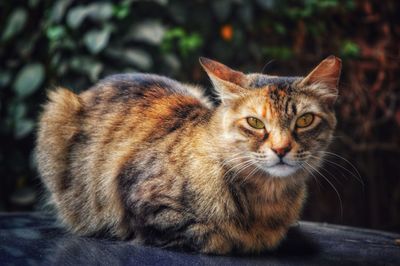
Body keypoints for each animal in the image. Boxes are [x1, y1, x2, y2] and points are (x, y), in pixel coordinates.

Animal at [36, 55, 340, 255]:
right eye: (255, 122)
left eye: (305, 120)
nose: (281, 149)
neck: (267, 198)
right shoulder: (141, 200)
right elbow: (213, 236)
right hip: (57, 108)